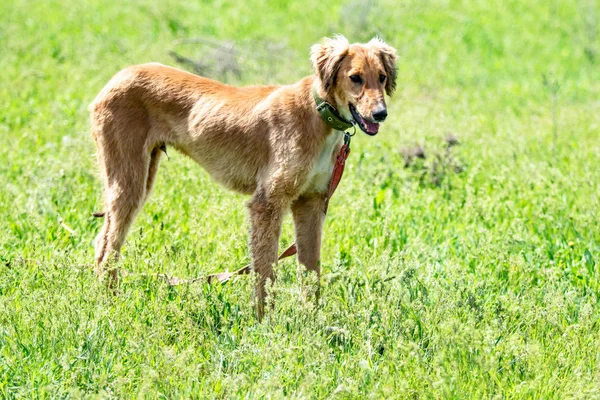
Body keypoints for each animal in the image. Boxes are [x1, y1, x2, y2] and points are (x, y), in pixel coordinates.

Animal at [90, 34, 398, 318]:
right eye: (355, 78)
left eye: (381, 77)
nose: (380, 114)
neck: (318, 113)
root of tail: (120, 75)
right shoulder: (267, 203)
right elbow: (265, 273)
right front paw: (265, 325)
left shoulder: (310, 202)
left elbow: (311, 273)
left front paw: (312, 322)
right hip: (129, 181)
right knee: (107, 247)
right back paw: (110, 306)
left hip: (141, 176)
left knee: (103, 241)